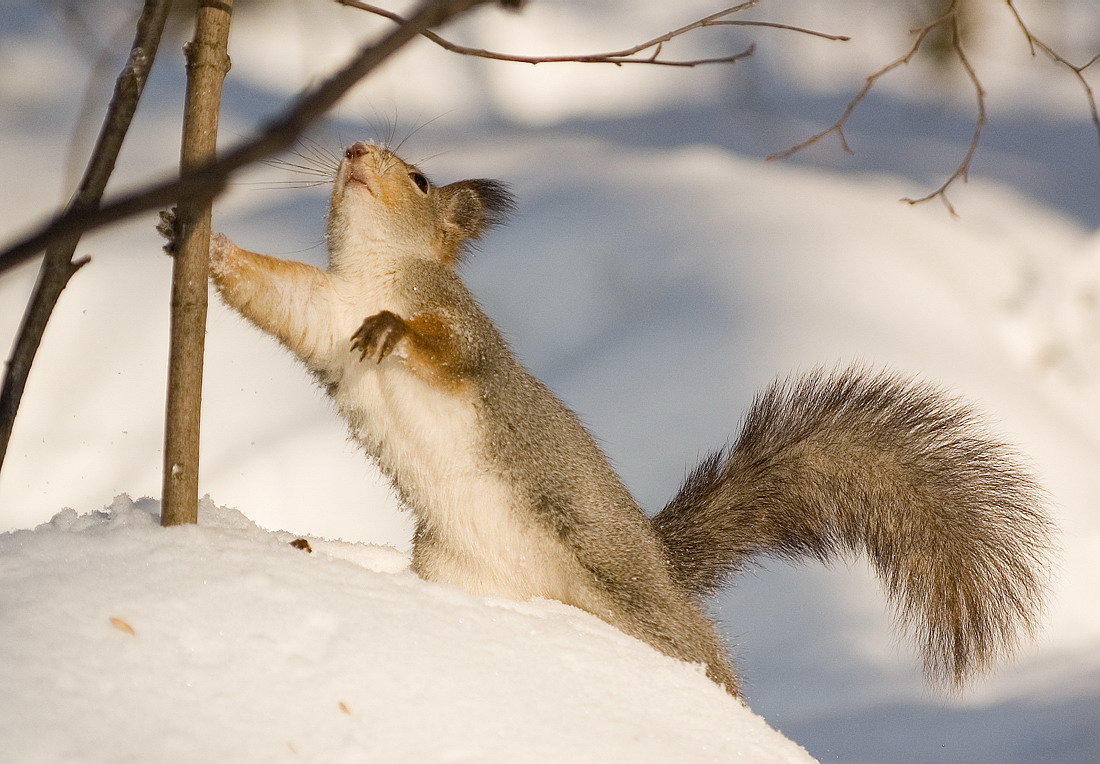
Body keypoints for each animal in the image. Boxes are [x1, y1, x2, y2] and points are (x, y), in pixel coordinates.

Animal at [173, 140, 1056, 694]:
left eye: (419, 178)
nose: (355, 151)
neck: (370, 274)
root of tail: (662, 568)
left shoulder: (461, 327)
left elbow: (443, 350)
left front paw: (392, 331)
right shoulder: (320, 316)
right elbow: (271, 292)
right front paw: (205, 240)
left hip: (645, 613)